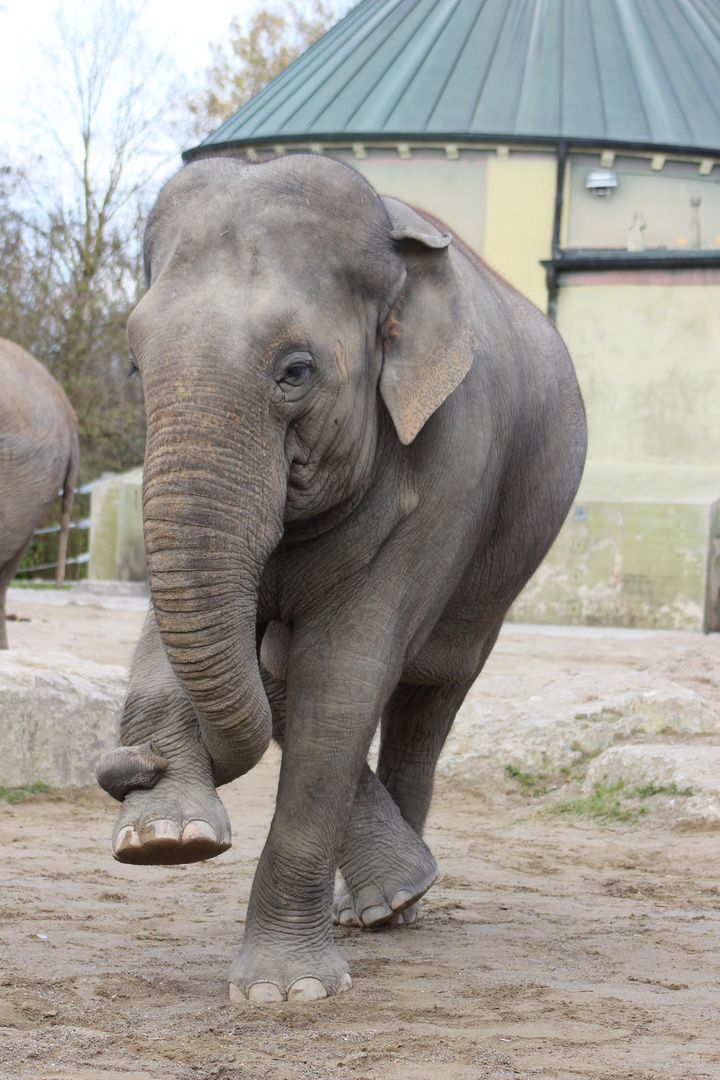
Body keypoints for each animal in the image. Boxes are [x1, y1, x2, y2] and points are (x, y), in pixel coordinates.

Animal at [95, 152, 587, 1002]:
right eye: (132, 361)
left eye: (296, 370)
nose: (130, 765)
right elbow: (193, 623)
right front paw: (166, 838)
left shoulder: (453, 460)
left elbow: (342, 673)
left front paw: (282, 991)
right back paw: (378, 901)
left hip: (496, 578)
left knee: (427, 702)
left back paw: (395, 908)